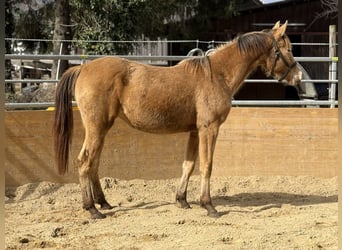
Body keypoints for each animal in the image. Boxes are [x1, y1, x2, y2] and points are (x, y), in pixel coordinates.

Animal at [54, 21, 302, 219]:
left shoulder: (195, 131)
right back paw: (92, 209)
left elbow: (189, 165)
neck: (217, 75)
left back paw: (103, 203)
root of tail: (82, 68)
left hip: (101, 129)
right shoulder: (209, 129)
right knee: (84, 162)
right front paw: (208, 205)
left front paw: (182, 200)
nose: (298, 76)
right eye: (288, 49)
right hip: (96, 128)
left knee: (93, 163)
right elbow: (207, 165)